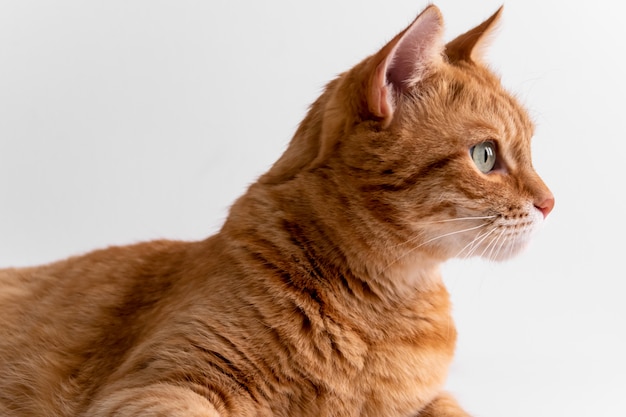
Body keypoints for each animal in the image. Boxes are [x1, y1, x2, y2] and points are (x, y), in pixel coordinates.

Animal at [0, 4, 552, 416]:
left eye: (530, 149)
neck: (381, 309)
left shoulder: (428, 401)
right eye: (485, 155)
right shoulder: (159, 388)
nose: (550, 203)